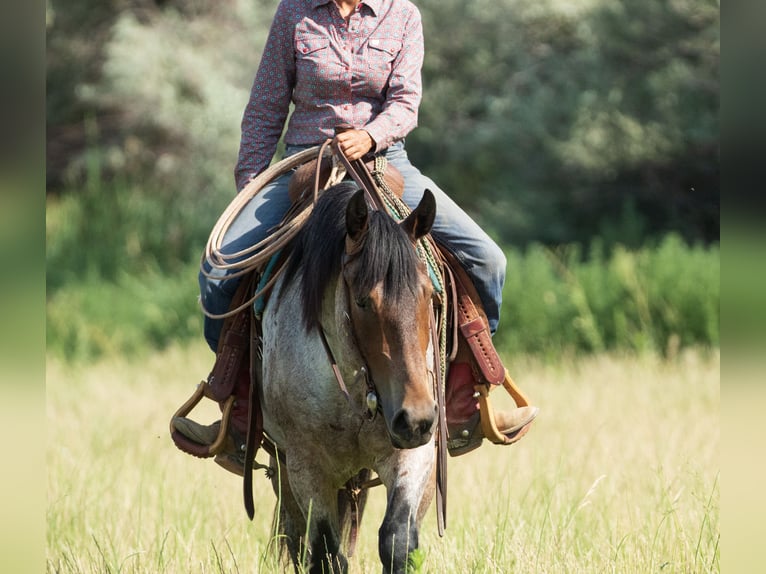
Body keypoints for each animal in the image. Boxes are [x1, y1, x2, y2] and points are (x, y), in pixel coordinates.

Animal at [260, 181, 438, 574]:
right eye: (362, 301)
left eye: (429, 293)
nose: (416, 419)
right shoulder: (305, 468)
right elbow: (326, 554)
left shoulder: (415, 454)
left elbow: (398, 540)